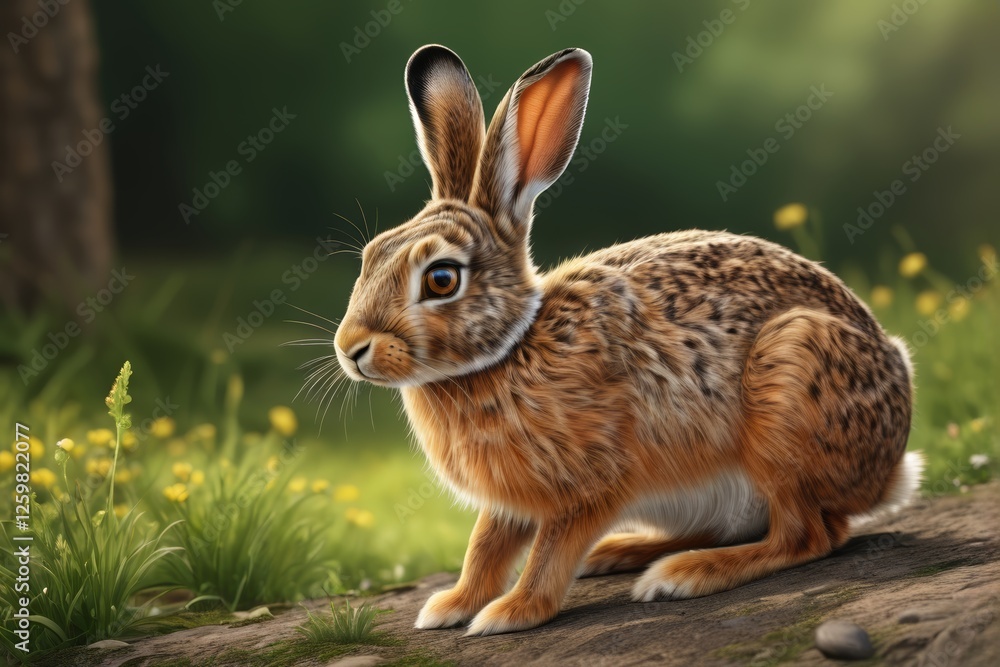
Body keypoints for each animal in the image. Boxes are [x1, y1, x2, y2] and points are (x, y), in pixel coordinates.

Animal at [333, 44, 921, 636]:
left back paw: (684, 574)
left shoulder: (590, 486)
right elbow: (485, 546)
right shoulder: (510, 502)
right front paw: (451, 605)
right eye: (371, 255)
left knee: (807, 534)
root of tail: (890, 467)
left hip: (789, 387)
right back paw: (622, 552)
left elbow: (549, 553)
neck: (508, 350)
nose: (350, 349)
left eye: (441, 278)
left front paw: (509, 613)